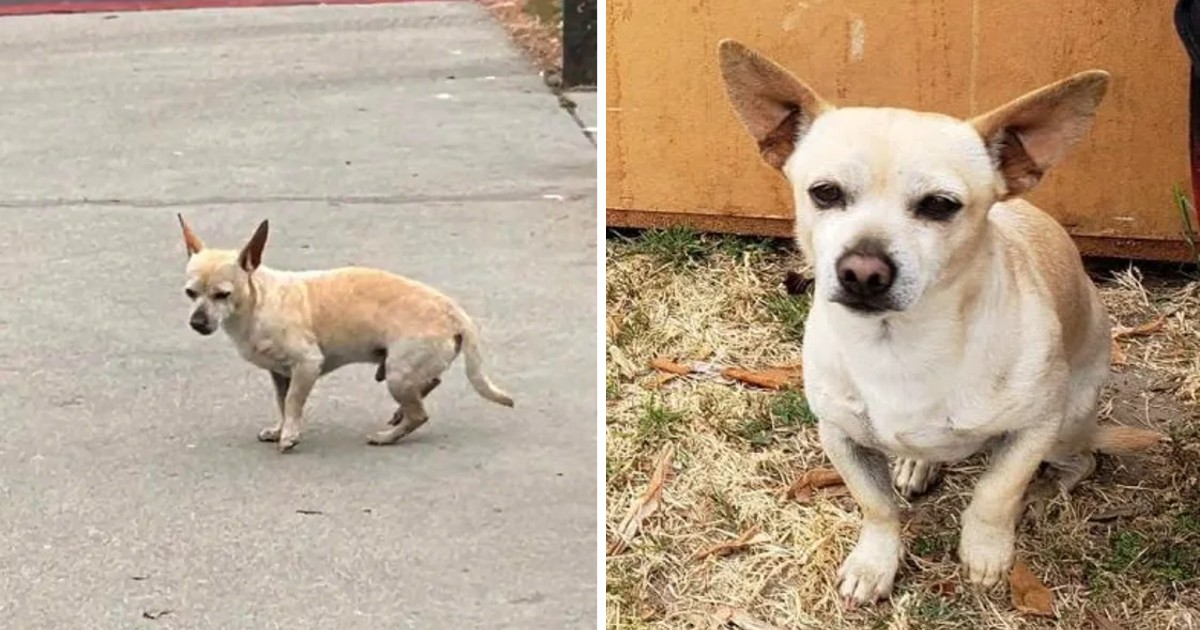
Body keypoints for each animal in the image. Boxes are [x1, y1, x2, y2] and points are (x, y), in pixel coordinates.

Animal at [176, 216, 511, 451]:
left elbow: (294, 401)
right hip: (403, 371)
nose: (197, 322)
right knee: (430, 384)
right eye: (190, 293)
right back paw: (398, 416)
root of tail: (453, 311)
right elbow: (282, 403)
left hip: (398, 374)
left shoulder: (306, 365)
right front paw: (281, 428)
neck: (258, 301)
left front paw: (290, 435)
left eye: (222, 295)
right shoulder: (280, 374)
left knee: (420, 413)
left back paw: (388, 436)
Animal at [715, 40, 1166, 604]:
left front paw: (986, 552)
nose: (862, 270)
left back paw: (1041, 494)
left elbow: (996, 493)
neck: (899, 345)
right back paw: (918, 462)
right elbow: (876, 506)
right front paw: (875, 563)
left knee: (1080, 462)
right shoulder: (840, 436)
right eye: (825, 193)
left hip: (1067, 425)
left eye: (939, 205)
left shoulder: (1034, 427)